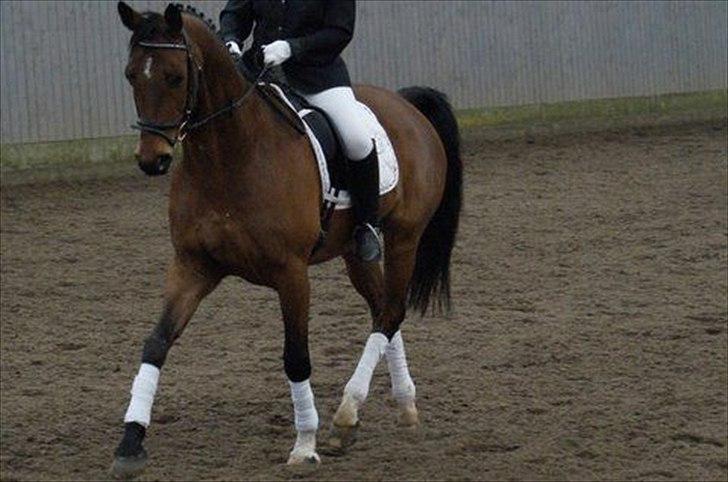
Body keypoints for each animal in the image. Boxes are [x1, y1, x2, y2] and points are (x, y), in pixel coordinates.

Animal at [111, 2, 462, 478]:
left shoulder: (291, 273)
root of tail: (406, 103)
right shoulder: (192, 265)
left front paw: (304, 444)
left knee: (390, 312)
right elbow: (156, 343)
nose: (153, 160)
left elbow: (296, 357)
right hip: (356, 252)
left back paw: (345, 415)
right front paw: (130, 443)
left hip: (405, 237)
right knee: (383, 311)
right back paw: (401, 406)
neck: (229, 157)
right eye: (132, 75)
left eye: (174, 77)